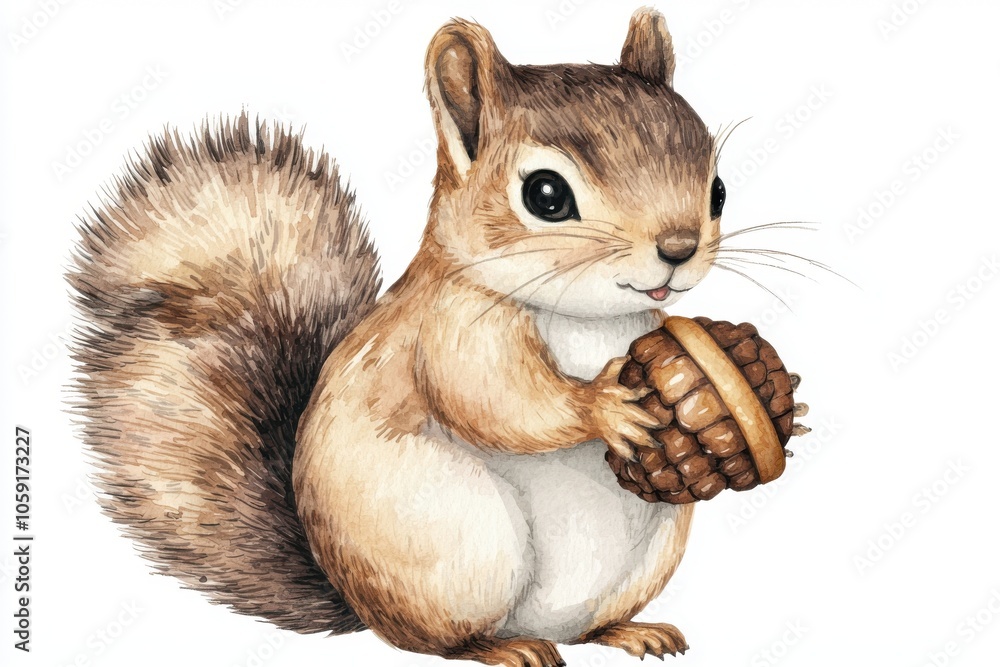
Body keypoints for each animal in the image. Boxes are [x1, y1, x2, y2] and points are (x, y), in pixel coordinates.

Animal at [70, 8, 726, 666]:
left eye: (718, 189)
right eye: (546, 194)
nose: (678, 249)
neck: (592, 319)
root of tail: (354, 599)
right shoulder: (452, 328)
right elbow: (494, 400)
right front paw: (604, 404)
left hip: (648, 552)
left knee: (589, 626)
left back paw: (631, 631)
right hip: (455, 539)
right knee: (441, 640)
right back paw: (503, 647)